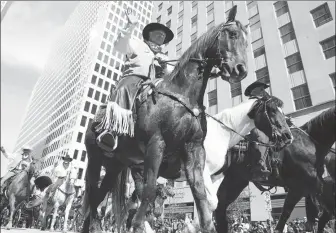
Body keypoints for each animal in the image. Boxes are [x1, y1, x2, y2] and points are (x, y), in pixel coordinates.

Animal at [81, 6, 249, 233]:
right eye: (232, 34)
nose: (241, 70)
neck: (182, 96)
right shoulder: (156, 144)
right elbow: (150, 189)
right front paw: (137, 225)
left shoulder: (194, 149)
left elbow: (199, 192)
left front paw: (206, 225)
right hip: (94, 159)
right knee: (92, 196)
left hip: (115, 165)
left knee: (98, 196)